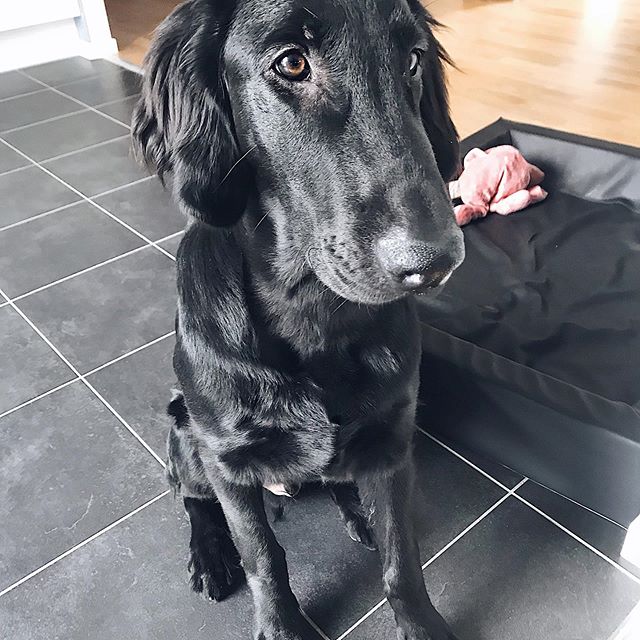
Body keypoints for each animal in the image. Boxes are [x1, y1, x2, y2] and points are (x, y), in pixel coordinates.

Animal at [134, 0, 464, 636]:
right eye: (291, 63)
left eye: (413, 58)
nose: (436, 261)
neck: (311, 308)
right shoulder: (227, 460)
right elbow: (263, 556)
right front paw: (281, 625)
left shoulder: (393, 439)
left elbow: (401, 557)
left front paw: (420, 622)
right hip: (184, 427)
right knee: (193, 498)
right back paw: (210, 554)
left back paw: (355, 511)